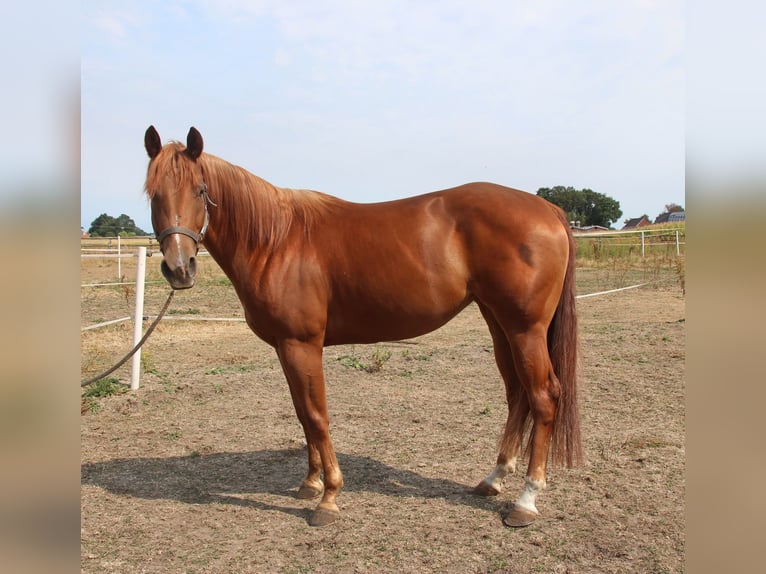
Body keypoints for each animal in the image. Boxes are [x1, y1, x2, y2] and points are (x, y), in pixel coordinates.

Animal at [143, 126, 582, 528]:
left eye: (200, 190)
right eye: (153, 193)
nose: (179, 268)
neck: (276, 241)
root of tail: (549, 210)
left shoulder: (302, 344)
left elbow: (317, 415)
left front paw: (329, 498)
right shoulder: (285, 346)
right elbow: (302, 414)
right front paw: (311, 484)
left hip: (526, 329)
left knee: (543, 396)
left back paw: (525, 501)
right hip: (500, 324)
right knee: (517, 395)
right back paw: (493, 479)